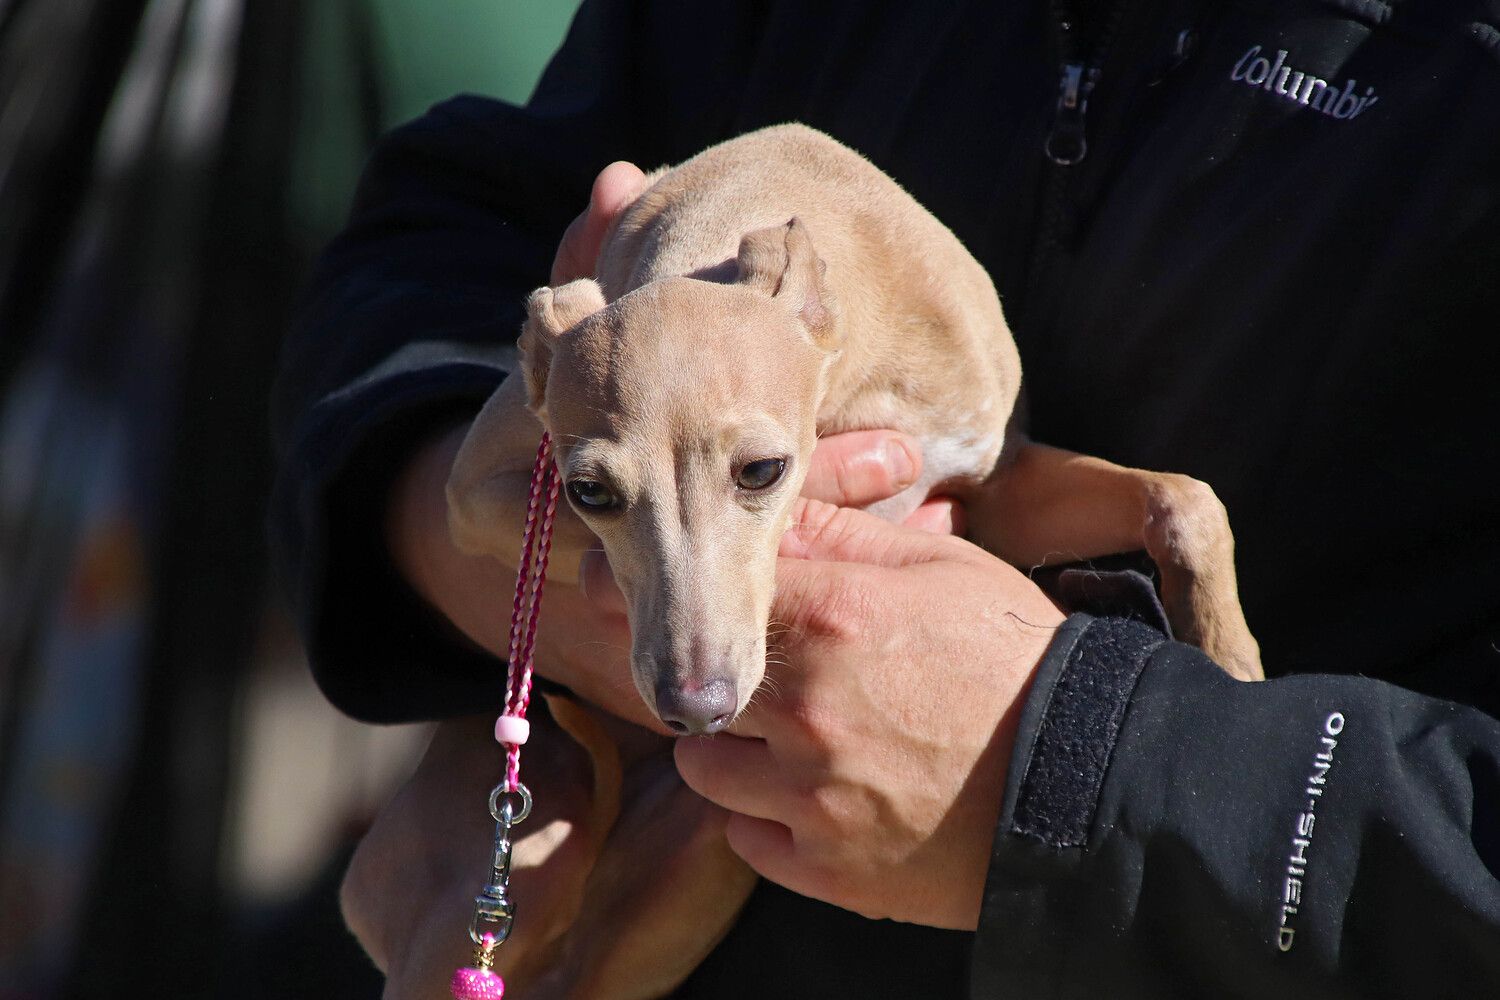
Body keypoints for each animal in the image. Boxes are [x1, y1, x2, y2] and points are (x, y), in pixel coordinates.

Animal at [447, 121, 1266, 740]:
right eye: (588, 492)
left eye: (762, 470)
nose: (697, 708)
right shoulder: (476, 493)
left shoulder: (999, 484)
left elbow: (1186, 497)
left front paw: (1229, 660)